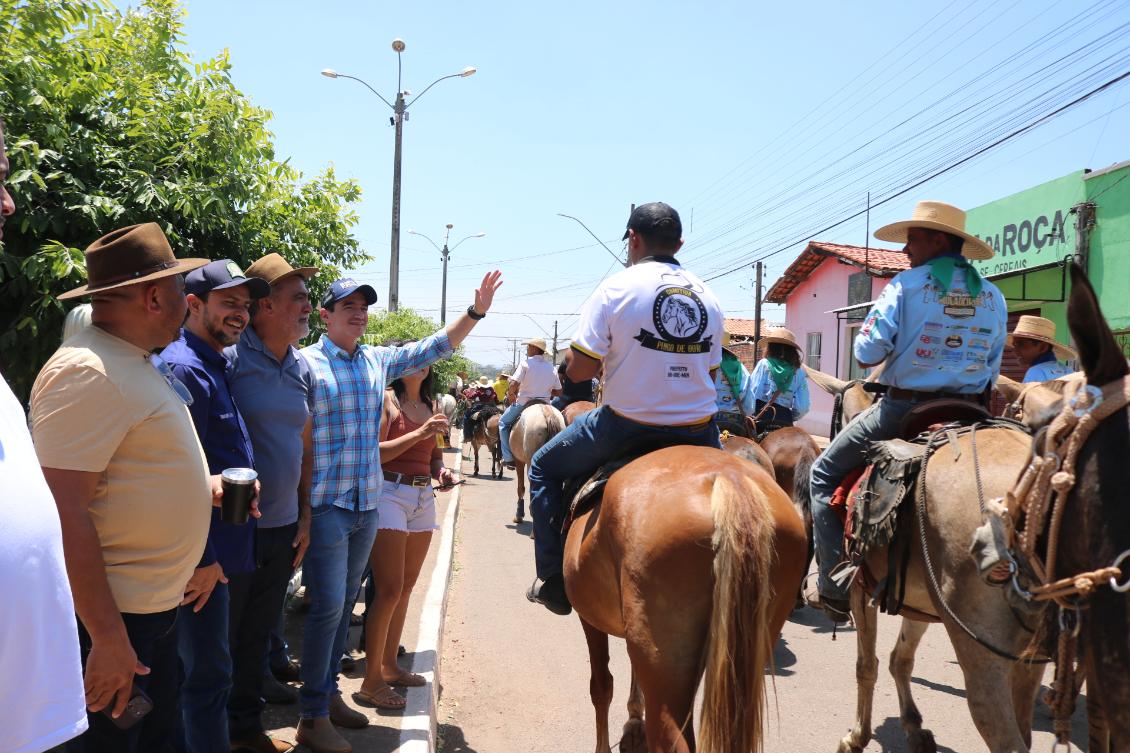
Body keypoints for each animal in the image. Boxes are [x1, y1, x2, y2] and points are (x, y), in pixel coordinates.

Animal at [804, 364, 1048, 750]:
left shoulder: (860, 589)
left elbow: (866, 665)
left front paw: (858, 735)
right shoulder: (915, 598)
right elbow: (900, 659)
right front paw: (914, 728)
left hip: (981, 648)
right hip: (1032, 652)